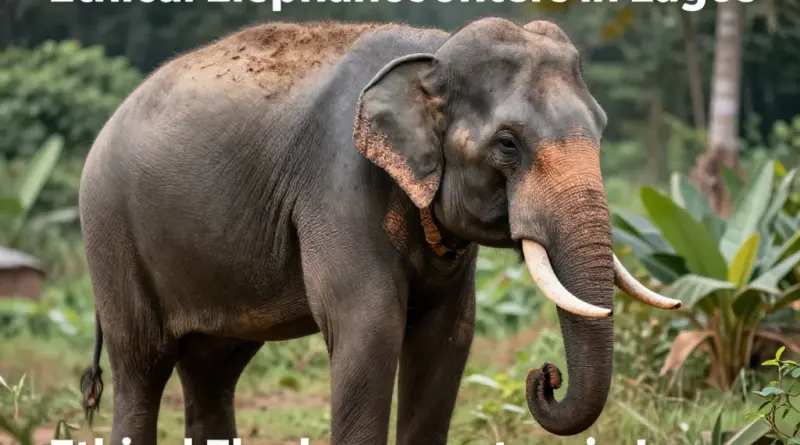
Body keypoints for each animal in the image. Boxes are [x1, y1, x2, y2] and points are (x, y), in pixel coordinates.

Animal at [77, 17, 681, 445]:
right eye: (508, 144)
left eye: (601, 129)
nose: (546, 375)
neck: (433, 53)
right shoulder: (337, 184)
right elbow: (369, 326)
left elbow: (449, 334)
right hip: (111, 234)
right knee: (141, 367)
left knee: (211, 371)